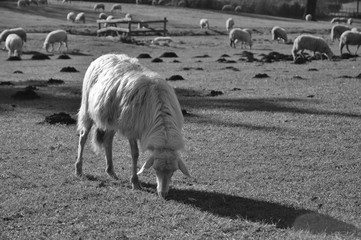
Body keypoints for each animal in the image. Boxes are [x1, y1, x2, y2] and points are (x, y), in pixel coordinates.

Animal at [74, 53, 190, 198]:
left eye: (173, 171)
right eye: (155, 169)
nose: (163, 194)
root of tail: (105, 55)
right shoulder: (132, 129)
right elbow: (135, 153)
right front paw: (135, 182)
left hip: (113, 119)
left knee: (107, 139)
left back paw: (111, 171)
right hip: (87, 108)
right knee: (83, 137)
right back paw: (78, 169)